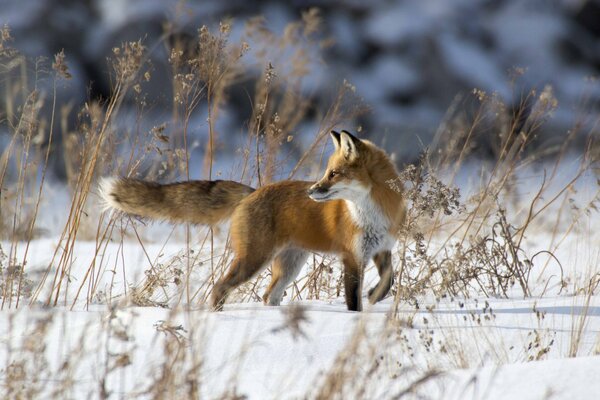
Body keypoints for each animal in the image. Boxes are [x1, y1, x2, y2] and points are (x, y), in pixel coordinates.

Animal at [101, 130, 406, 310]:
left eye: (334, 174)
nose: (310, 191)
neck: (373, 212)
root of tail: (252, 192)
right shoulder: (351, 256)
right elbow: (353, 299)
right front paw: (357, 317)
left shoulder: (381, 249)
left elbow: (389, 280)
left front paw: (375, 296)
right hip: (254, 260)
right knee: (220, 287)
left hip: (288, 266)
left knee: (269, 295)